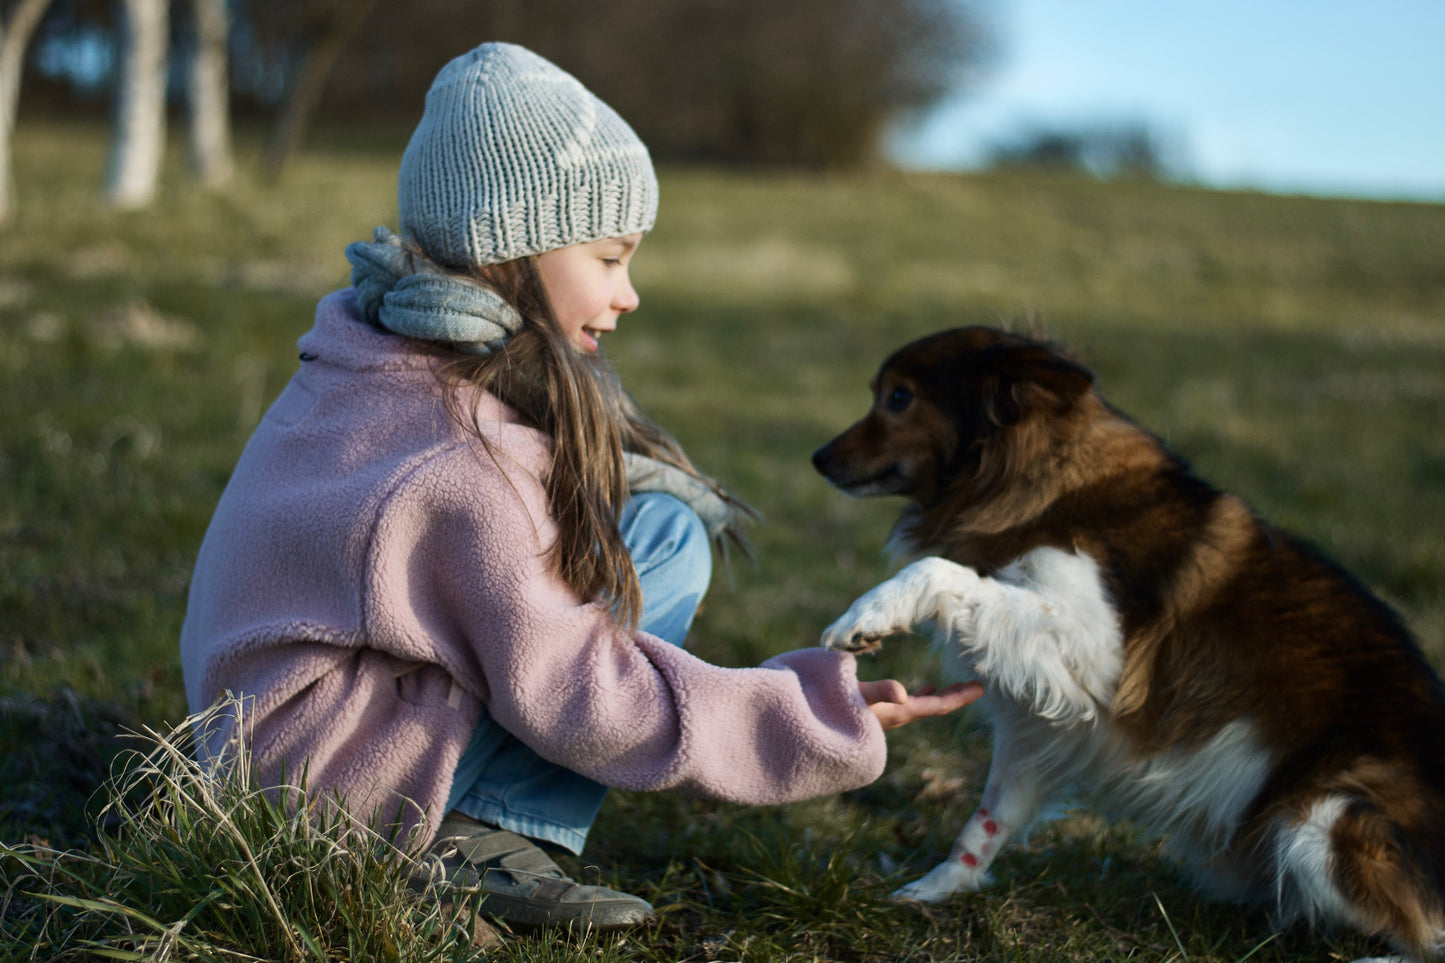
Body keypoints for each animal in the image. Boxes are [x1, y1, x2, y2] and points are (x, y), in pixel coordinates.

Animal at [814, 326, 1445, 954]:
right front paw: (936, 889)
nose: (817, 458)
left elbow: (940, 570)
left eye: (898, 398)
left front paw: (868, 614)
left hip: (1324, 818)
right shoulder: (1041, 719)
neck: (1039, 477)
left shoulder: (1096, 654)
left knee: (1426, 933)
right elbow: (988, 818)